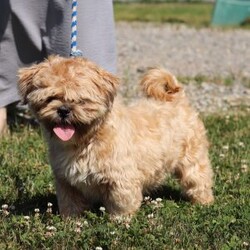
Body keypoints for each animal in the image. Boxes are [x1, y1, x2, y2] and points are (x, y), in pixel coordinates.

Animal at [18, 55, 213, 216]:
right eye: (50, 98)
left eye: (81, 100)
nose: (64, 110)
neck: (86, 140)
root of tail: (176, 100)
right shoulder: (66, 182)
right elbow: (71, 204)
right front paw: (71, 223)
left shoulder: (120, 178)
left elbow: (120, 203)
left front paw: (119, 221)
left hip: (192, 161)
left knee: (198, 180)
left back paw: (203, 203)